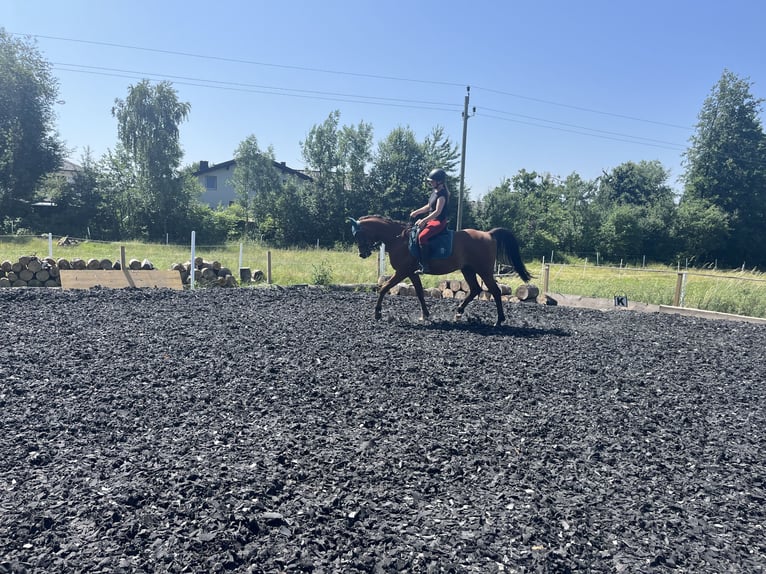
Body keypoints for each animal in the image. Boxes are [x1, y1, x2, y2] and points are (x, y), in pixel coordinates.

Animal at [348, 215, 533, 327]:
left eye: (358, 235)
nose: (362, 254)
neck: (398, 239)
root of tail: (489, 234)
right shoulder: (411, 273)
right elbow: (420, 293)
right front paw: (426, 315)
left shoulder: (402, 271)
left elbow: (384, 288)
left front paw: (377, 313)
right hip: (468, 269)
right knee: (475, 289)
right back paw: (458, 313)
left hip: (484, 270)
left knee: (494, 291)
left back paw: (499, 321)